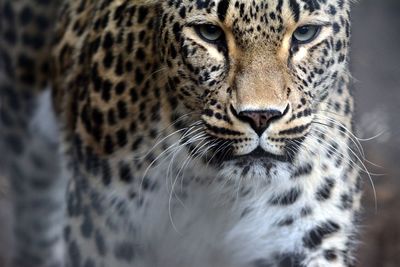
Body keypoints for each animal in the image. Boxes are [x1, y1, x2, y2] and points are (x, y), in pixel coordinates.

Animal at [0, 0, 364, 267]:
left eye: (305, 33)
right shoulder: (104, 229)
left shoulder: (306, 236)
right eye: (209, 33)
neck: (216, 181)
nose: (260, 116)